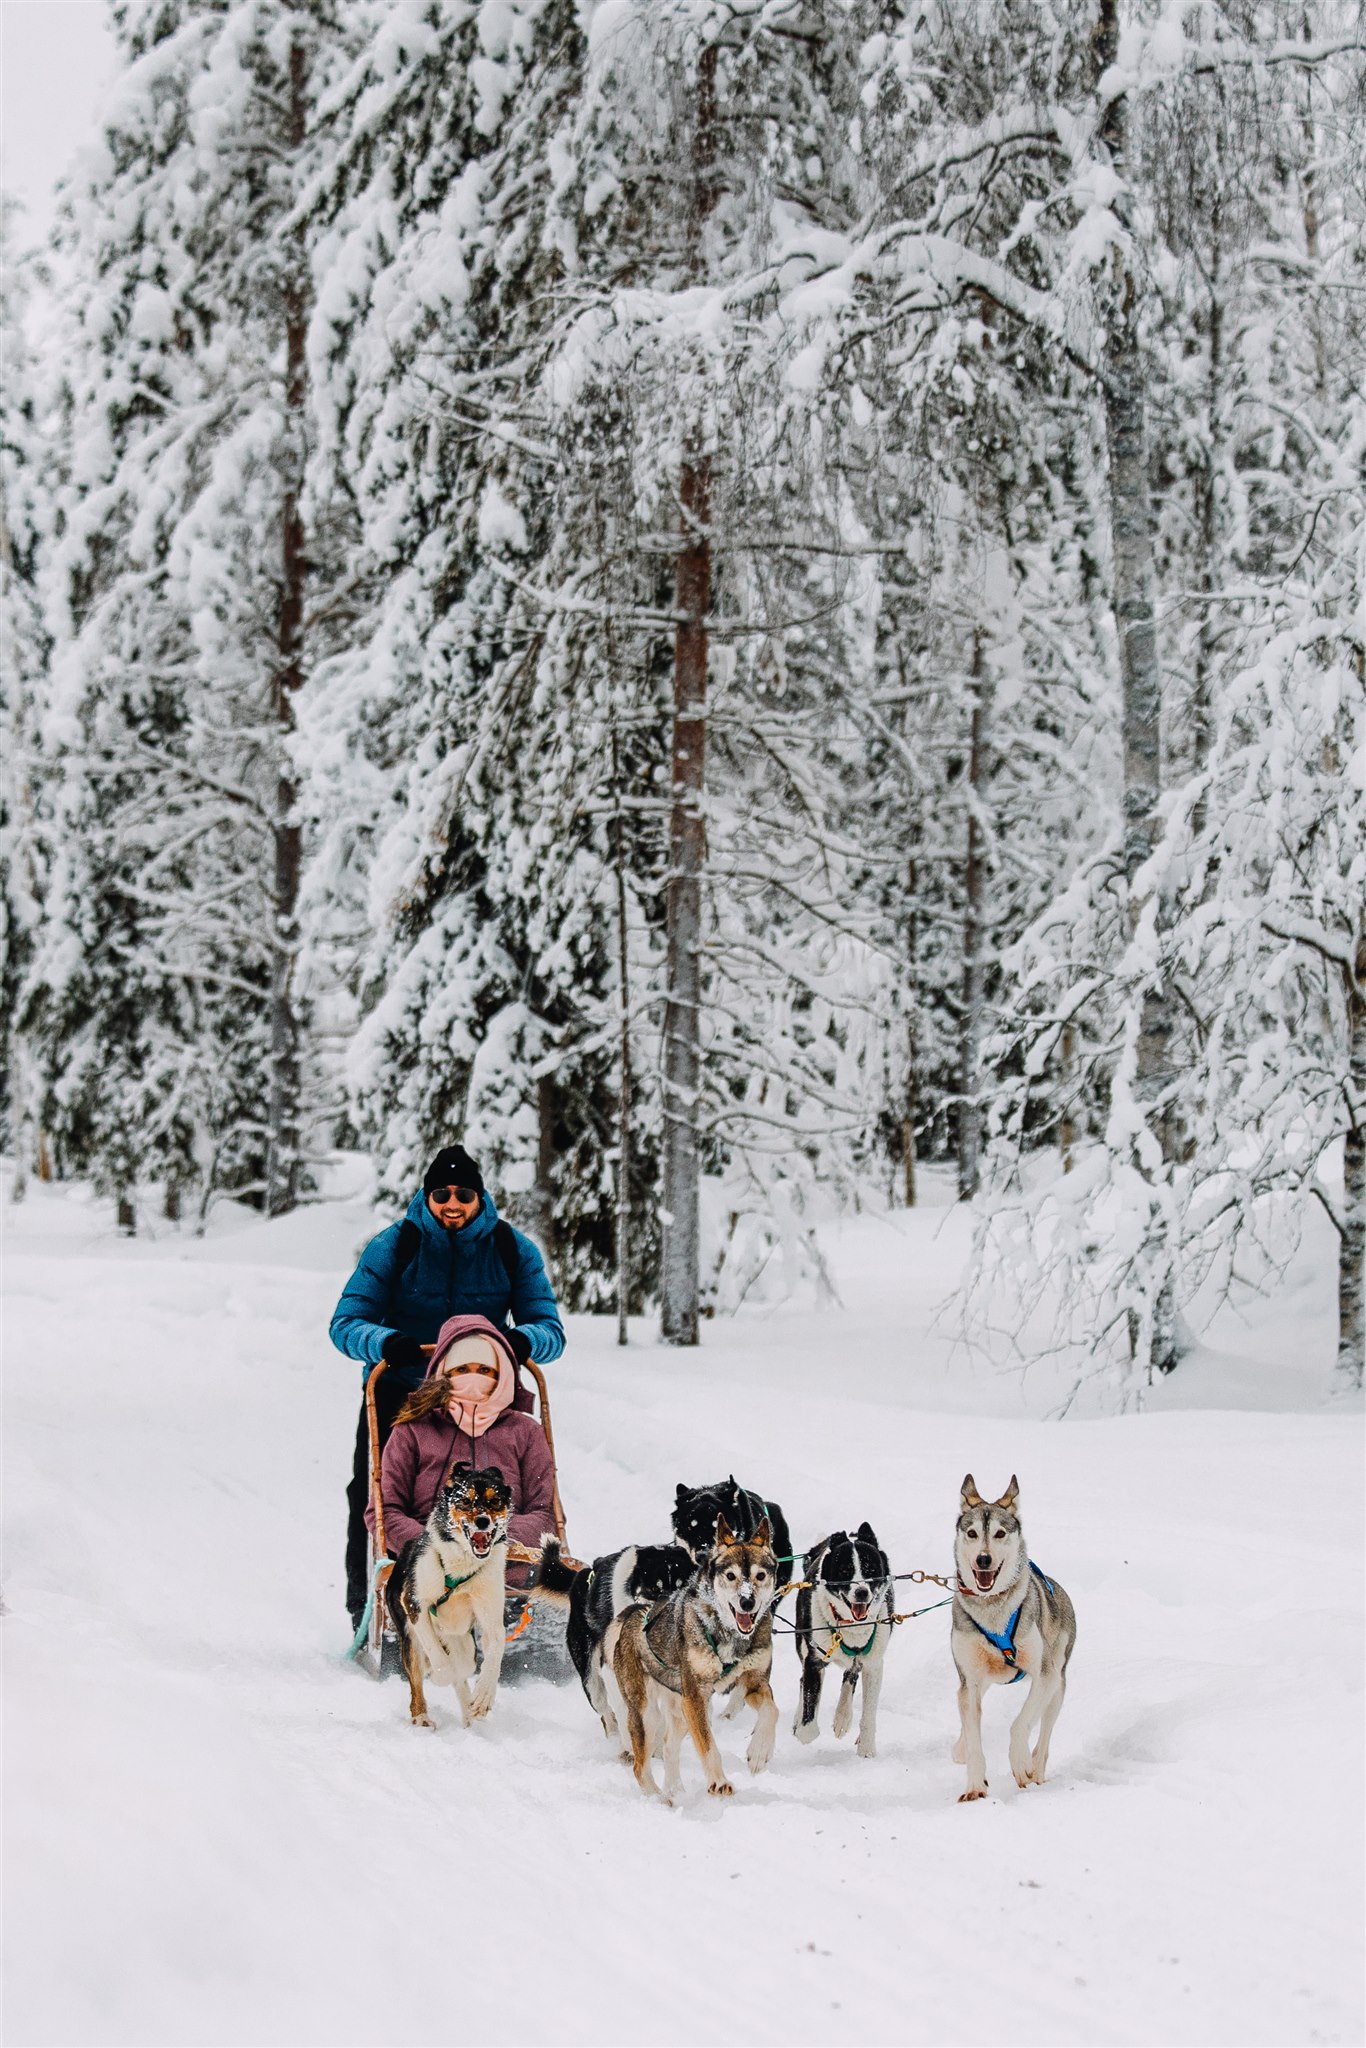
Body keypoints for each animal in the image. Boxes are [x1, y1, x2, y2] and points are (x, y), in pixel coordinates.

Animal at [387, 1464, 513, 1729]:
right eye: (465, 1501)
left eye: (495, 1501)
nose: (483, 1521)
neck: (461, 1569)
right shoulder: (415, 1604)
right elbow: (436, 1655)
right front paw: (441, 1673)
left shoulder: (491, 1619)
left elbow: (495, 1650)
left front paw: (484, 1696)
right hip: (410, 1636)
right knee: (420, 1678)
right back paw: (422, 1716)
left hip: (463, 1643)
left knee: (462, 1673)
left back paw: (469, 1716)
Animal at [534, 1538, 694, 1748]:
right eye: (654, 1589)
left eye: (682, 1585)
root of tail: (582, 1576)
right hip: (590, 1676)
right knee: (604, 1709)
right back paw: (615, 1738)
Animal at [614, 1516, 780, 1802]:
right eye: (730, 1575)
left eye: (760, 1575)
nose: (747, 1602)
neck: (728, 1633)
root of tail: (635, 1615)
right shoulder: (695, 1697)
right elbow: (708, 1745)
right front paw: (719, 1781)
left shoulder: (753, 1683)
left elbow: (772, 1711)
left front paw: (759, 1752)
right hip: (648, 1714)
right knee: (640, 1767)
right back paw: (661, 1799)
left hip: (681, 1711)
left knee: (669, 1746)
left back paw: (675, 1790)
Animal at [792, 1523, 894, 1759]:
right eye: (845, 1571)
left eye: (870, 1570)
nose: (861, 1592)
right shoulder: (814, 1660)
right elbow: (808, 1727)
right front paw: (803, 1726)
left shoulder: (873, 1665)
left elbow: (868, 1714)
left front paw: (866, 1748)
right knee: (804, 1681)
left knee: (851, 1674)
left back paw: (843, 1717)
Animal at [950, 1474, 1076, 1801]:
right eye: (972, 1533)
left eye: (999, 1533)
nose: (983, 1559)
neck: (993, 1611)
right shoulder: (969, 1680)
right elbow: (974, 1738)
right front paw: (974, 1785)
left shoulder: (1044, 1675)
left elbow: (1020, 1724)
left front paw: (1021, 1764)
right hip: (978, 1681)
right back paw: (960, 1747)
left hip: (1057, 1686)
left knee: (1043, 1735)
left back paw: (1037, 1769)